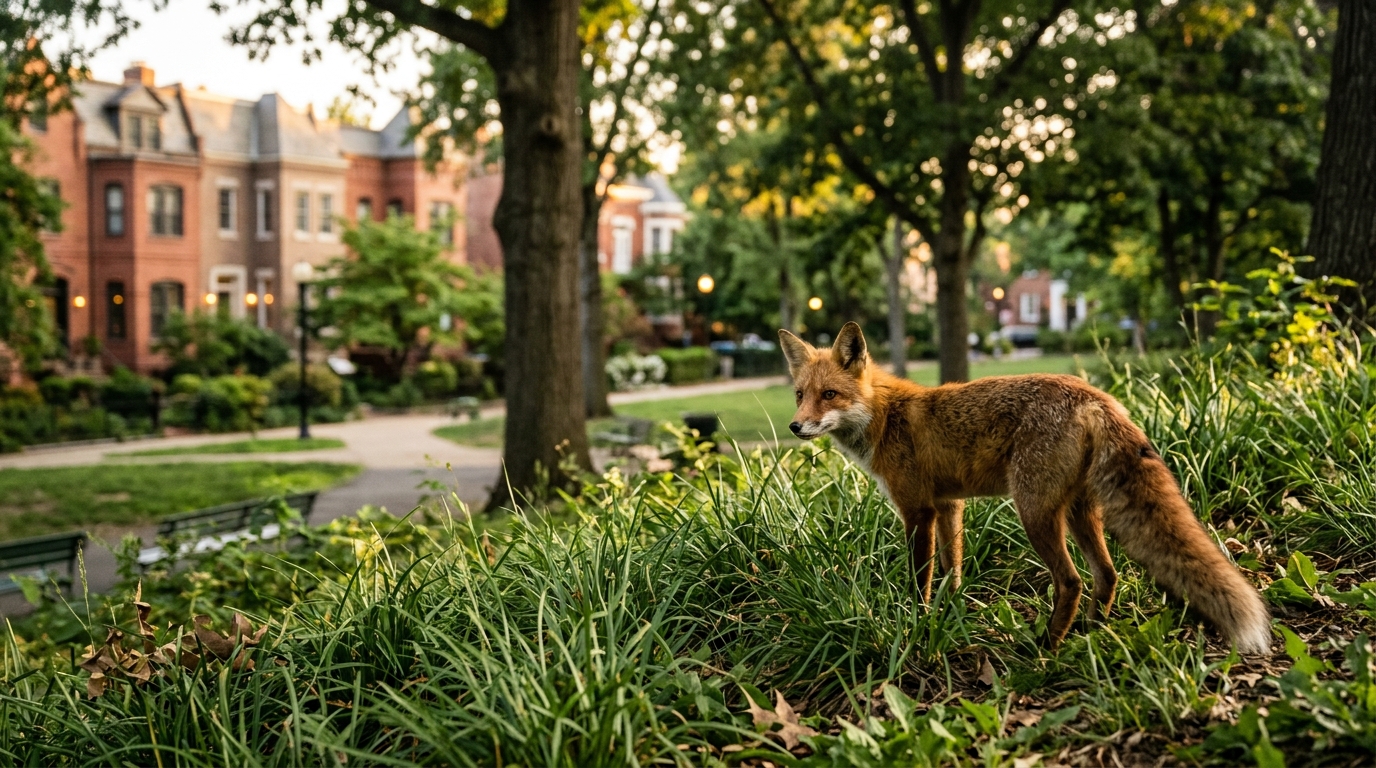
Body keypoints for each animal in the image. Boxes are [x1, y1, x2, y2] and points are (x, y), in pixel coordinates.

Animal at [779, 322, 1271, 654]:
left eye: (829, 395)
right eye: (800, 394)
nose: (795, 426)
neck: (884, 417)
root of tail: (1096, 395)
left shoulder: (918, 510)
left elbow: (921, 577)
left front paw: (916, 621)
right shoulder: (949, 505)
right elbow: (954, 569)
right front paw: (950, 612)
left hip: (1033, 511)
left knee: (1071, 581)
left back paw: (1045, 646)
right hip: (1079, 511)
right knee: (1107, 574)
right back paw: (1090, 633)